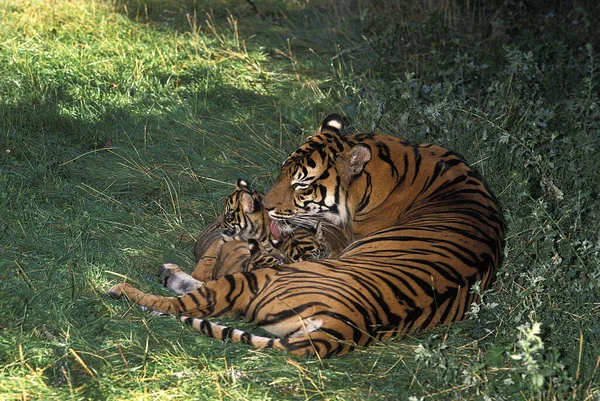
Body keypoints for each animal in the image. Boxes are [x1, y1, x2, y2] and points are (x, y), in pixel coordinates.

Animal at [110, 114, 504, 358]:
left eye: (301, 184)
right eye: (282, 172)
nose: (264, 206)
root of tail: (344, 329)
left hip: (261, 279)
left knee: (186, 302)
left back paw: (127, 288)